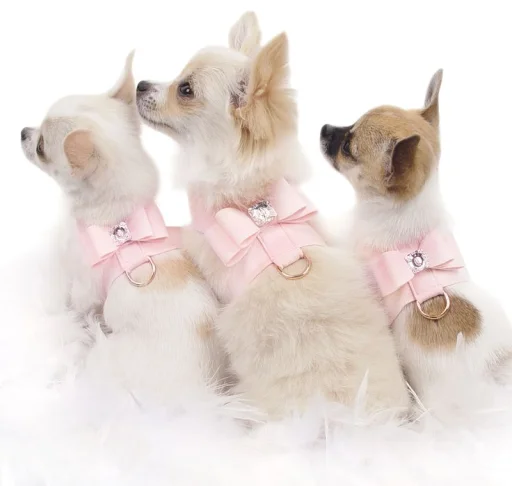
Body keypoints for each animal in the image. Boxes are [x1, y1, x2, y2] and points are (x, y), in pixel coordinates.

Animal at [20, 53, 226, 407]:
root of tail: (199, 397)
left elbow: (75, 305)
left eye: (42, 146)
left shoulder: (84, 286)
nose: (21, 131)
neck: (121, 221)